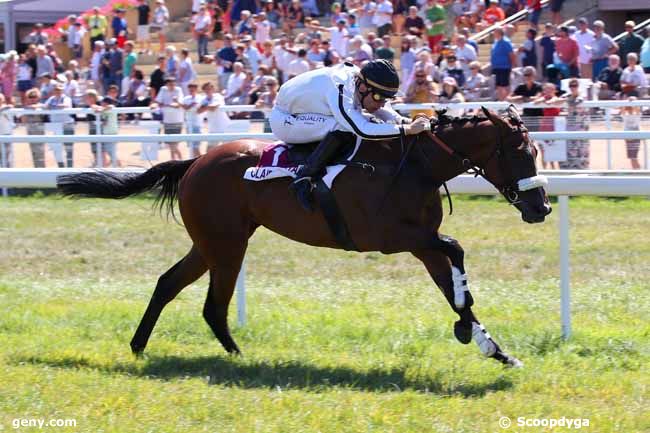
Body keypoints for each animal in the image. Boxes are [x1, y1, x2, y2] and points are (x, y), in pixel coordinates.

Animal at [58, 106, 548, 366]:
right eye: (521, 153)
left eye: (535, 151)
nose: (540, 207)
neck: (413, 166)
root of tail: (195, 161)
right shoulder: (393, 237)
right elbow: (457, 251)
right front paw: (469, 329)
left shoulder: (421, 241)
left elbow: (452, 285)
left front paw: (493, 347)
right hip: (227, 244)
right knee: (213, 304)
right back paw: (238, 357)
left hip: (211, 242)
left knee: (168, 283)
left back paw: (140, 346)